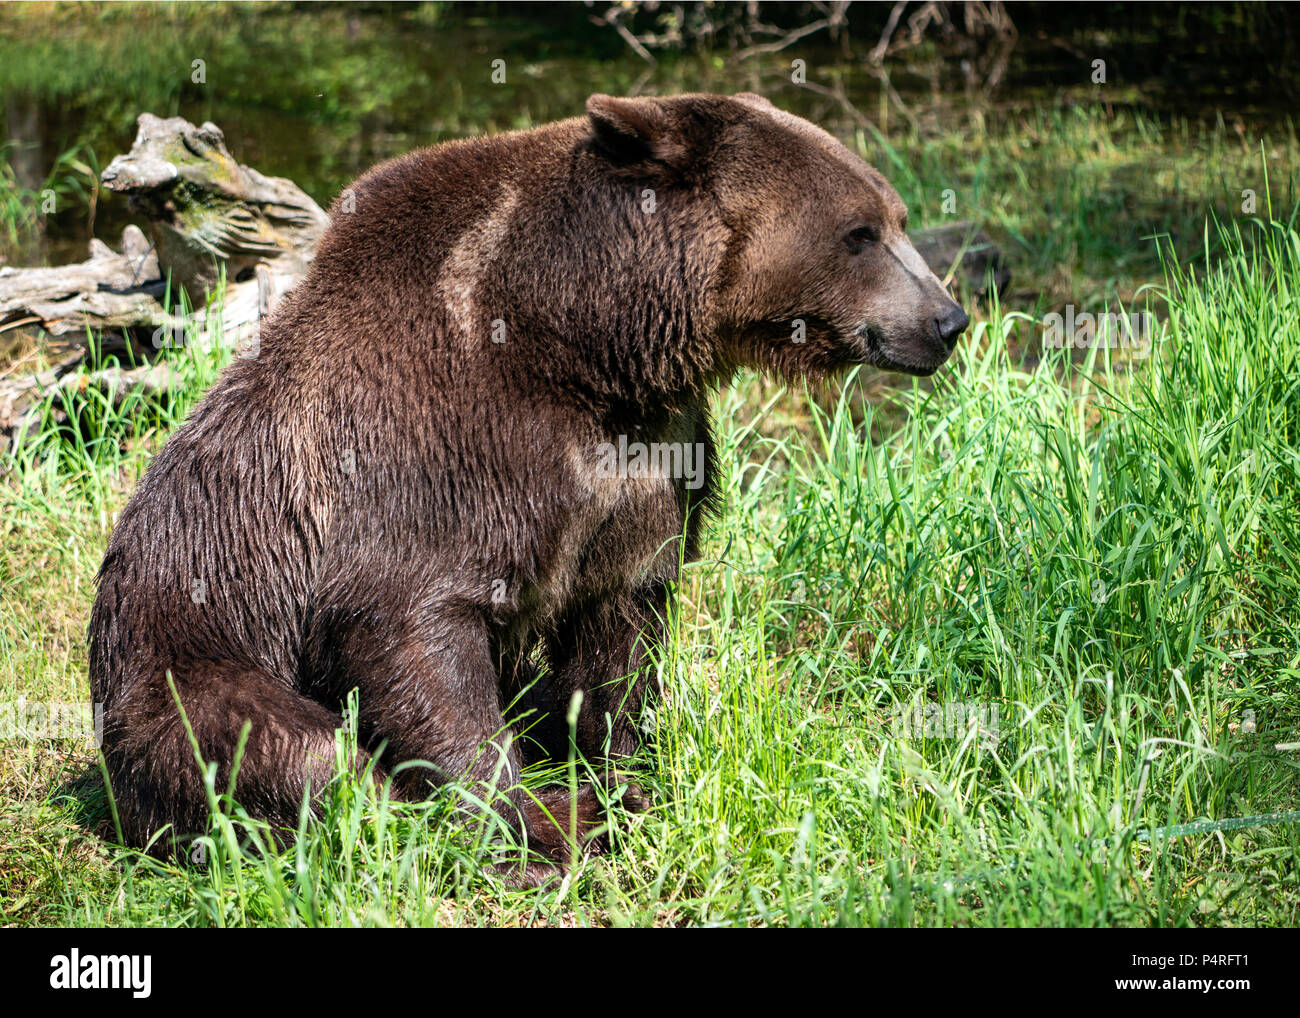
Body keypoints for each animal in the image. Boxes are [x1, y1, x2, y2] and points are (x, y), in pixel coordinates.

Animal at [89, 91, 967, 884]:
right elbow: (413, 631)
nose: (949, 320)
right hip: (186, 650)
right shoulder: (436, 455)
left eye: (894, 217)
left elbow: (622, 631)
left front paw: (626, 775)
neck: (585, 350)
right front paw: (545, 827)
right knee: (276, 745)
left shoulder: (647, 463)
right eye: (861, 232)